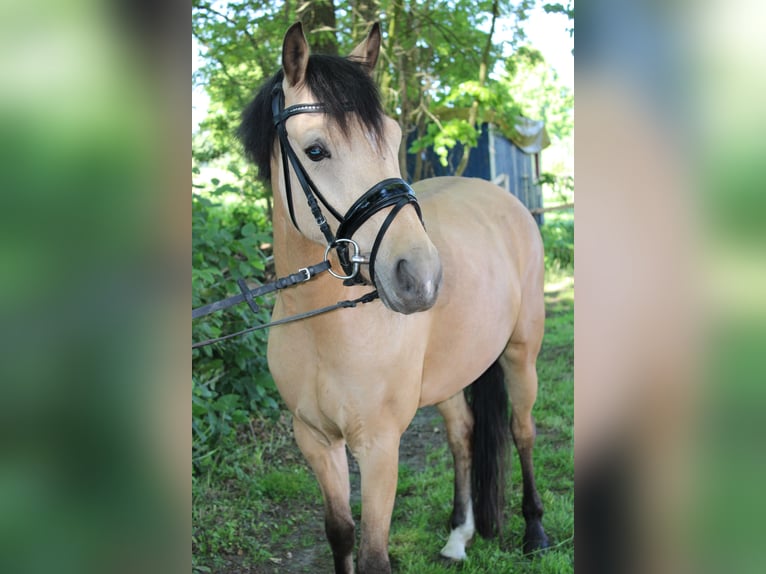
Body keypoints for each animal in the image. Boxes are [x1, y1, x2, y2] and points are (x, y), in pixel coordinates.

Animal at [237, 20, 548, 572]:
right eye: (316, 150)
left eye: (394, 137)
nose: (419, 277)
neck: (325, 328)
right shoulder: (315, 439)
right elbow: (340, 532)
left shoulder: (379, 447)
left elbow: (375, 556)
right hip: (450, 376)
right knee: (463, 433)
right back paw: (458, 535)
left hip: (521, 352)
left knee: (522, 429)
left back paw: (535, 531)